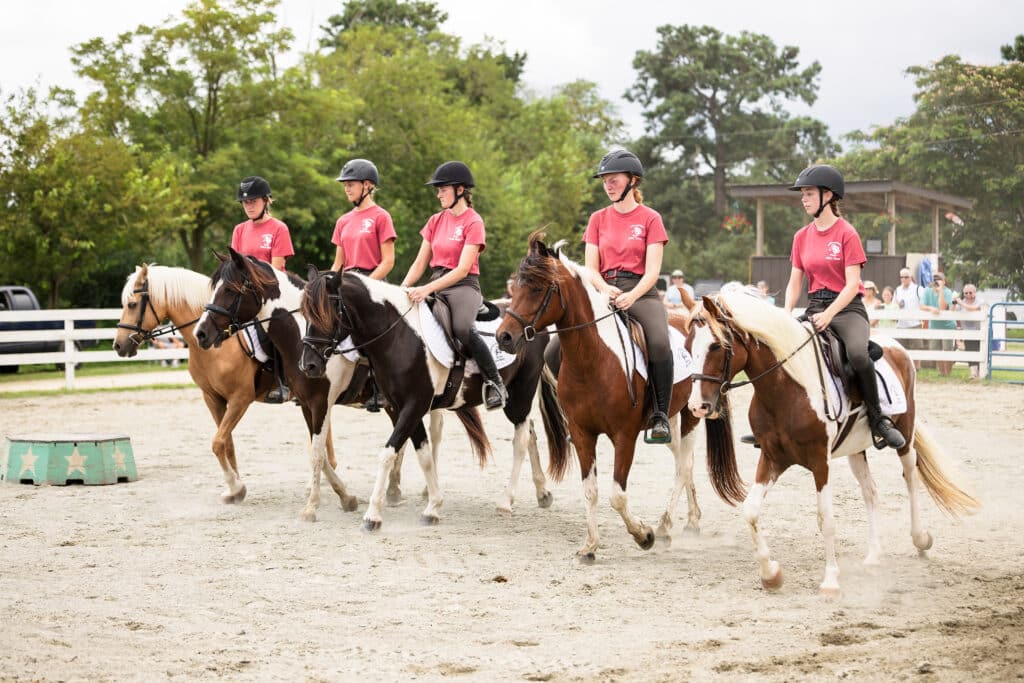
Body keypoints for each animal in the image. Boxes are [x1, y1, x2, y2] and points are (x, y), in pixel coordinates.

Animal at [112, 264, 337, 505]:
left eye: (132, 304)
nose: (118, 345)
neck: (217, 345)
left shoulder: (240, 399)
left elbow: (217, 442)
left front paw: (235, 485)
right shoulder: (212, 398)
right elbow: (226, 442)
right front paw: (235, 489)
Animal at [296, 266, 573, 528]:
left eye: (326, 312)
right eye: (305, 313)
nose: (309, 365)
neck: (397, 336)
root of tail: (532, 325)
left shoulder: (413, 405)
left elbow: (388, 453)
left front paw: (372, 516)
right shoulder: (403, 408)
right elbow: (424, 456)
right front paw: (433, 507)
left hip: (521, 392)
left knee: (521, 440)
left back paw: (506, 502)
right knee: (529, 432)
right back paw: (542, 493)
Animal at [493, 232, 704, 565]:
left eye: (537, 288)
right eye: (514, 288)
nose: (504, 337)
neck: (594, 360)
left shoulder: (625, 435)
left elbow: (617, 495)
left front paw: (643, 535)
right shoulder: (582, 434)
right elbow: (590, 490)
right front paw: (589, 546)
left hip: (691, 415)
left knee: (684, 465)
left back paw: (664, 527)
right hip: (670, 419)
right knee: (683, 462)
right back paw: (690, 521)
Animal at [684, 282, 978, 593]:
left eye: (717, 346)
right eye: (688, 346)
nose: (697, 406)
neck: (788, 388)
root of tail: (897, 346)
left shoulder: (819, 461)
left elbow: (825, 518)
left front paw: (830, 580)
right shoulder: (773, 457)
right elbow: (750, 510)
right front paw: (771, 574)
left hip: (906, 436)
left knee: (911, 477)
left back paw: (920, 538)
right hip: (855, 449)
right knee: (871, 492)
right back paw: (874, 555)